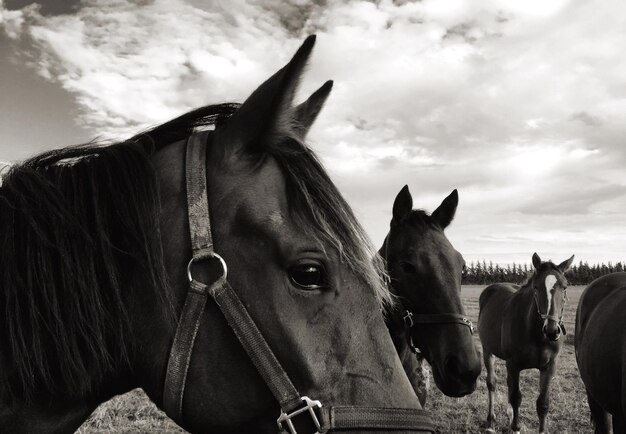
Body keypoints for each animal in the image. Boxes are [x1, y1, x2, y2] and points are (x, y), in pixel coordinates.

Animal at [478, 253, 572, 432]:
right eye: (536, 287)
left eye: (564, 287)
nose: (552, 331)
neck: (537, 335)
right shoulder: (514, 364)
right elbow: (516, 398)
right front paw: (515, 427)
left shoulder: (549, 366)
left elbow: (543, 404)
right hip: (487, 350)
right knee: (492, 383)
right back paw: (491, 420)